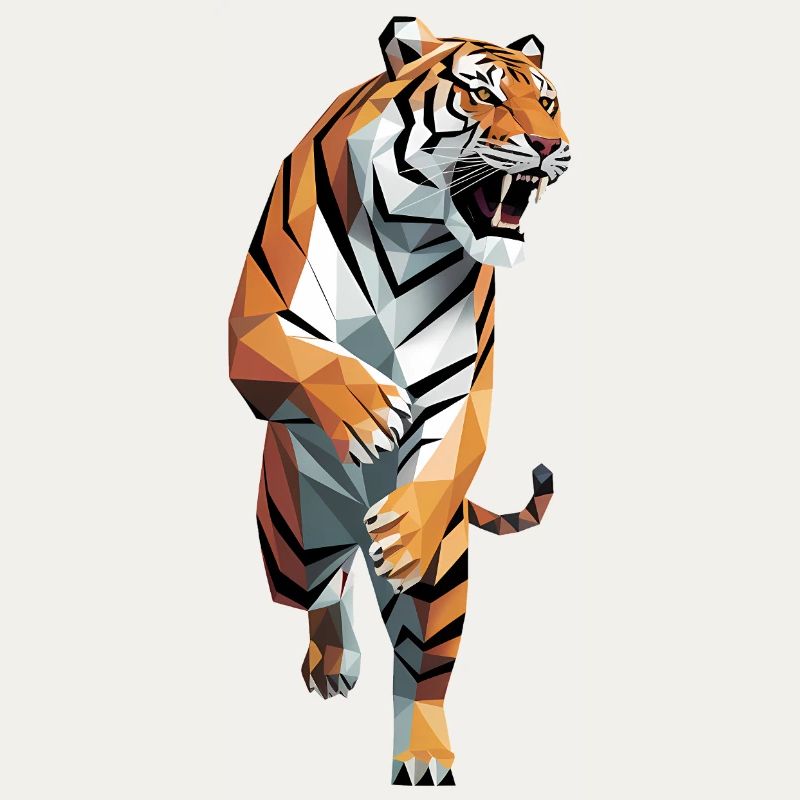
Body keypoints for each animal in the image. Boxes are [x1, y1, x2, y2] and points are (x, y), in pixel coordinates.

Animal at [228, 17, 570, 786]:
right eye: (483, 95)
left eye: (547, 102)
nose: (549, 146)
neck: (413, 237)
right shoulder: (253, 324)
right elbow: (301, 358)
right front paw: (369, 412)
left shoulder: (466, 380)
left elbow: (455, 440)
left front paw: (405, 527)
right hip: (290, 543)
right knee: (321, 594)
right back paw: (333, 663)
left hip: (445, 573)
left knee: (423, 671)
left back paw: (424, 758)